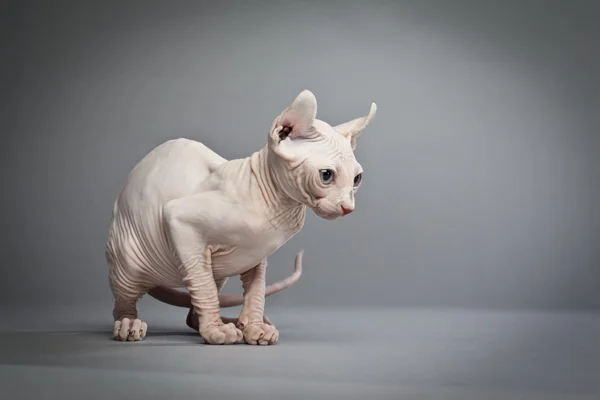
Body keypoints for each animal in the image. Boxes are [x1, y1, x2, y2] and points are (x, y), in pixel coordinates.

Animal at [103, 90, 376, 344]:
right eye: (326, 175)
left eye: (357, 179)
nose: (348, 208)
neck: (280, 209)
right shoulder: (179, 218)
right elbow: (203, 287)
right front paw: (216, 331)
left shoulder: (257, 255)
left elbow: (256, 291)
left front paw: (254, 327)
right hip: (129, 262)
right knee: (126, 300)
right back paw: (129, 324)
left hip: (218, 272)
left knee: (193, 313)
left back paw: (236, 322)